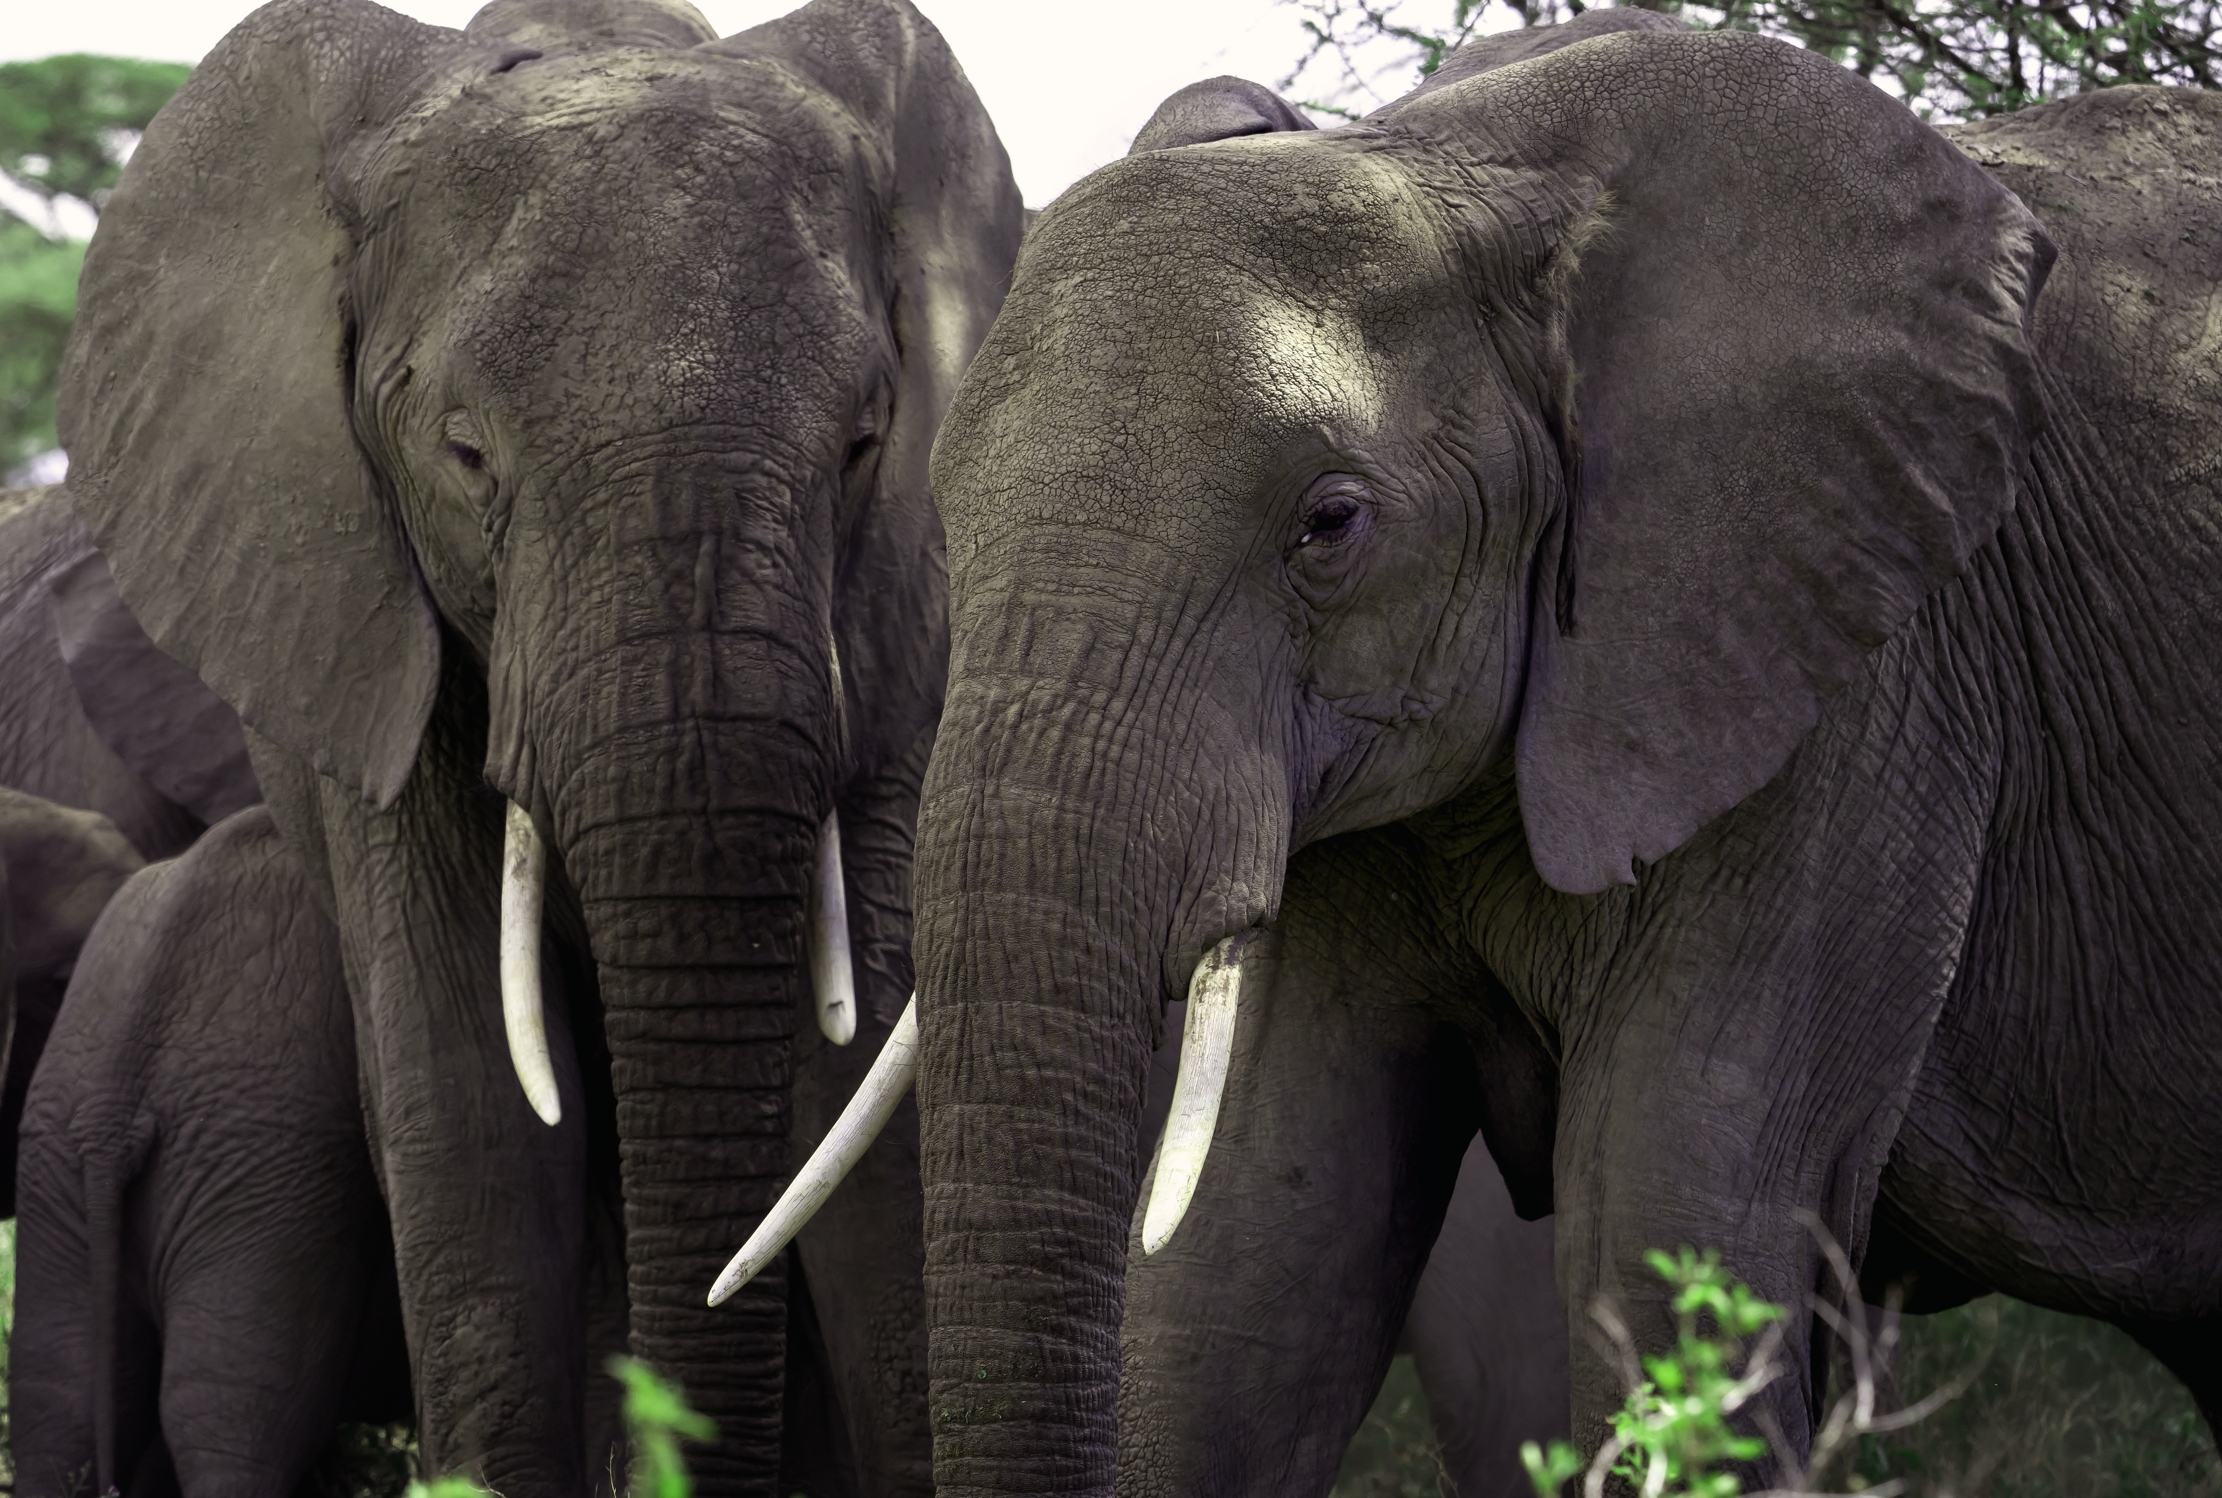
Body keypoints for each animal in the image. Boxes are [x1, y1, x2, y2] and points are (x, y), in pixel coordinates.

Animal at [748, 15, 2222, 1495]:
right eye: (935, 502)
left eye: (1329, 524)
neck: (1454, 158)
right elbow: (1247, 1276)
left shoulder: (1862, 681)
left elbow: (1669, 1231)